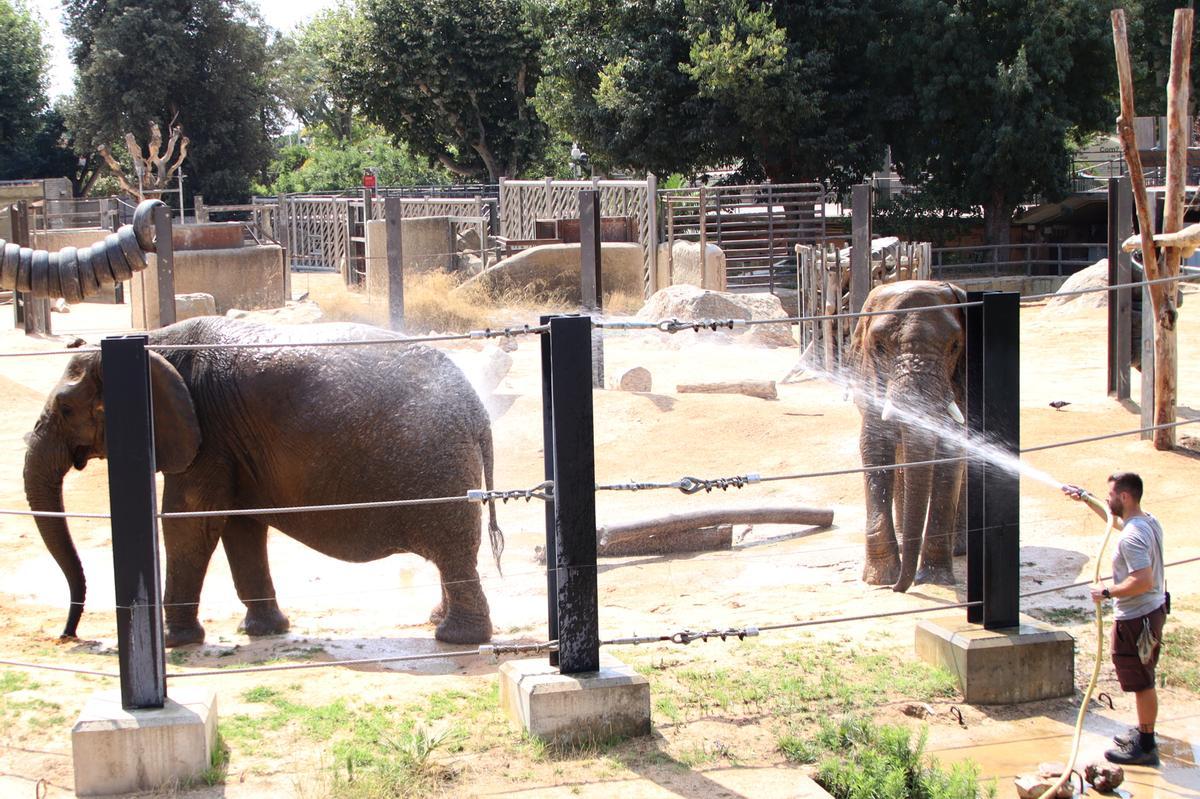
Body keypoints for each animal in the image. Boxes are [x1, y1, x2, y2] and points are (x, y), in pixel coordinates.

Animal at [23, 314, 501, 643]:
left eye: (66, 409)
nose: (69, 635)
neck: (156, 340)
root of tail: (478, 411)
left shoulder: (208, 435)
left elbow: (188, 523)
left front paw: (177, 642)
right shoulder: (230, 445)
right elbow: (239, 524)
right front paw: (264, 631)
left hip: (438, 465)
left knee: (453, 549)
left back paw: (455, 638)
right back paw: (438, 621)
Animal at [849, 277, 969, 587]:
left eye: (955, 346)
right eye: (879, 347)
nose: (900, 588)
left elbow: (951, 453)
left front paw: (935, 580)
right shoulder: (870, 377)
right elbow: (875, 447)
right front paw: (881, 579)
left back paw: (959, 548)